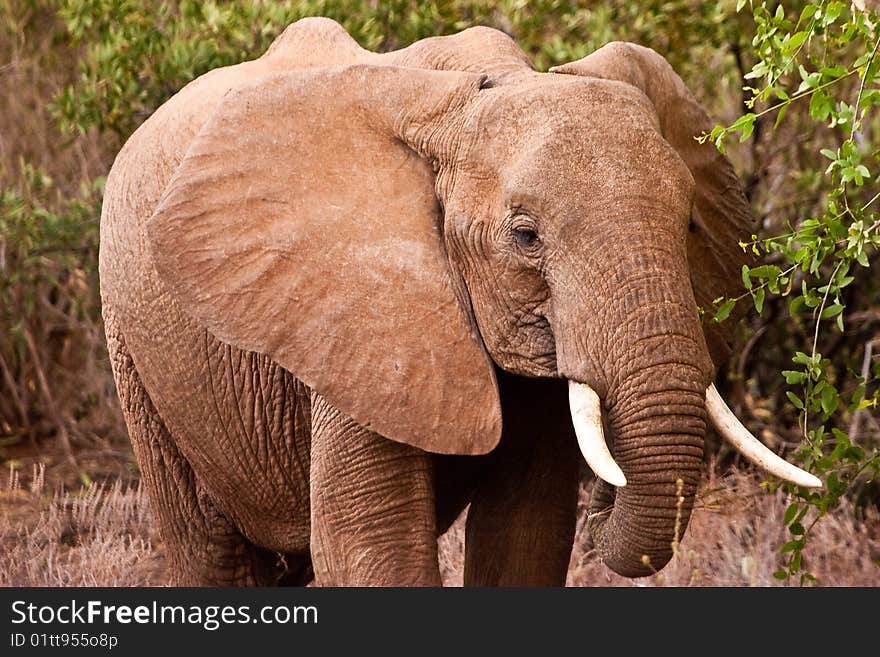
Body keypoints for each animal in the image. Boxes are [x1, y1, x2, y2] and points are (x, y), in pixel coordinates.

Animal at [99, 16, 820, 584]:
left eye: (689, 225)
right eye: (525, 236)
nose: (607, 502)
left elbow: (526, 539)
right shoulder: (357, 316)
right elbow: (372, 550)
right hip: (136, 352)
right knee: (210, 552)